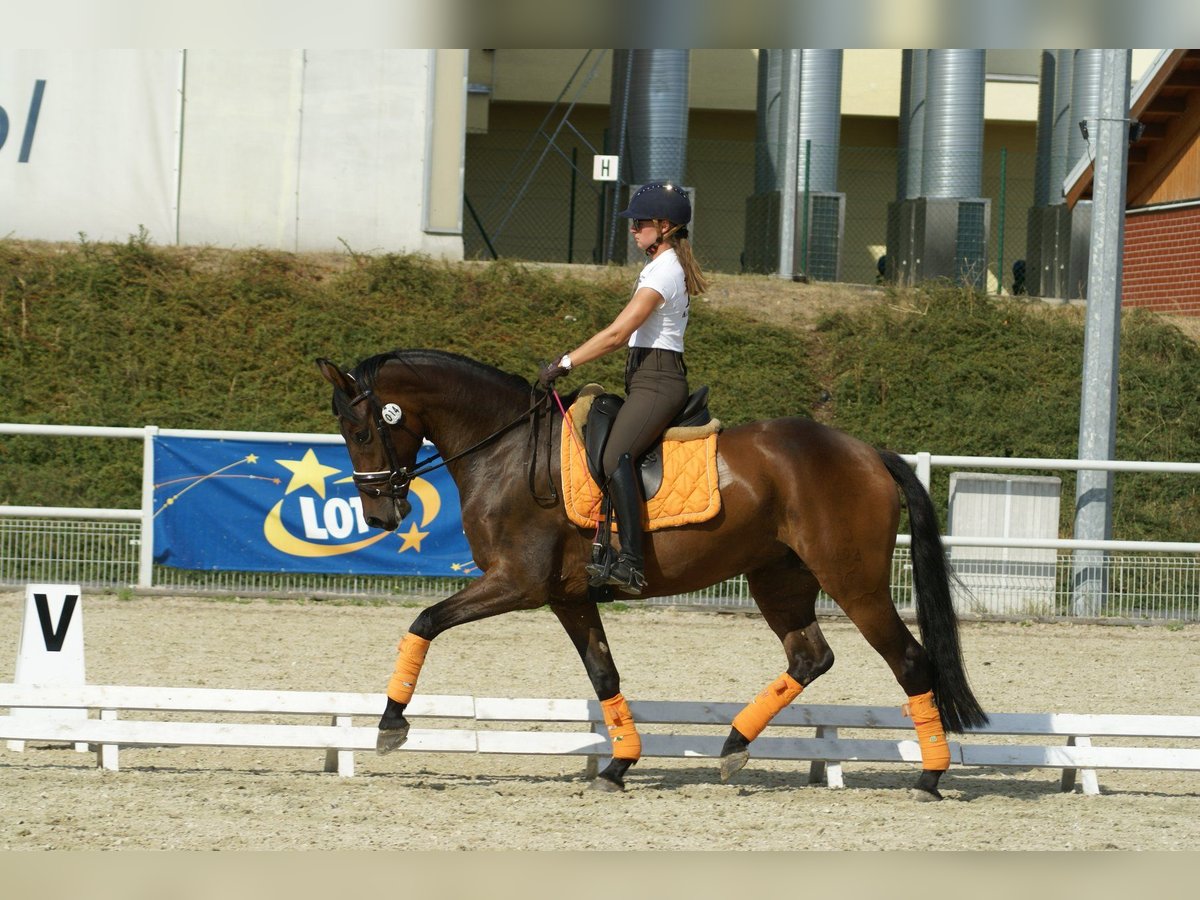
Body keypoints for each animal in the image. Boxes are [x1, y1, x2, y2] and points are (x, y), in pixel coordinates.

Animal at [314, 348, 988, 801]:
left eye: (361, 428)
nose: (380, 514)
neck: (504, 451)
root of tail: (866, 451)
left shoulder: (517, 583)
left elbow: (425, 620)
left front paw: (390, 723)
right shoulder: (568, 596)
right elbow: (604, 673)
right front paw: (619, 766)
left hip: (854, 583)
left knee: (910, 662)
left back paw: (930, 776)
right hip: (779, 578)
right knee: (810, 657)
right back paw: (734, 747)